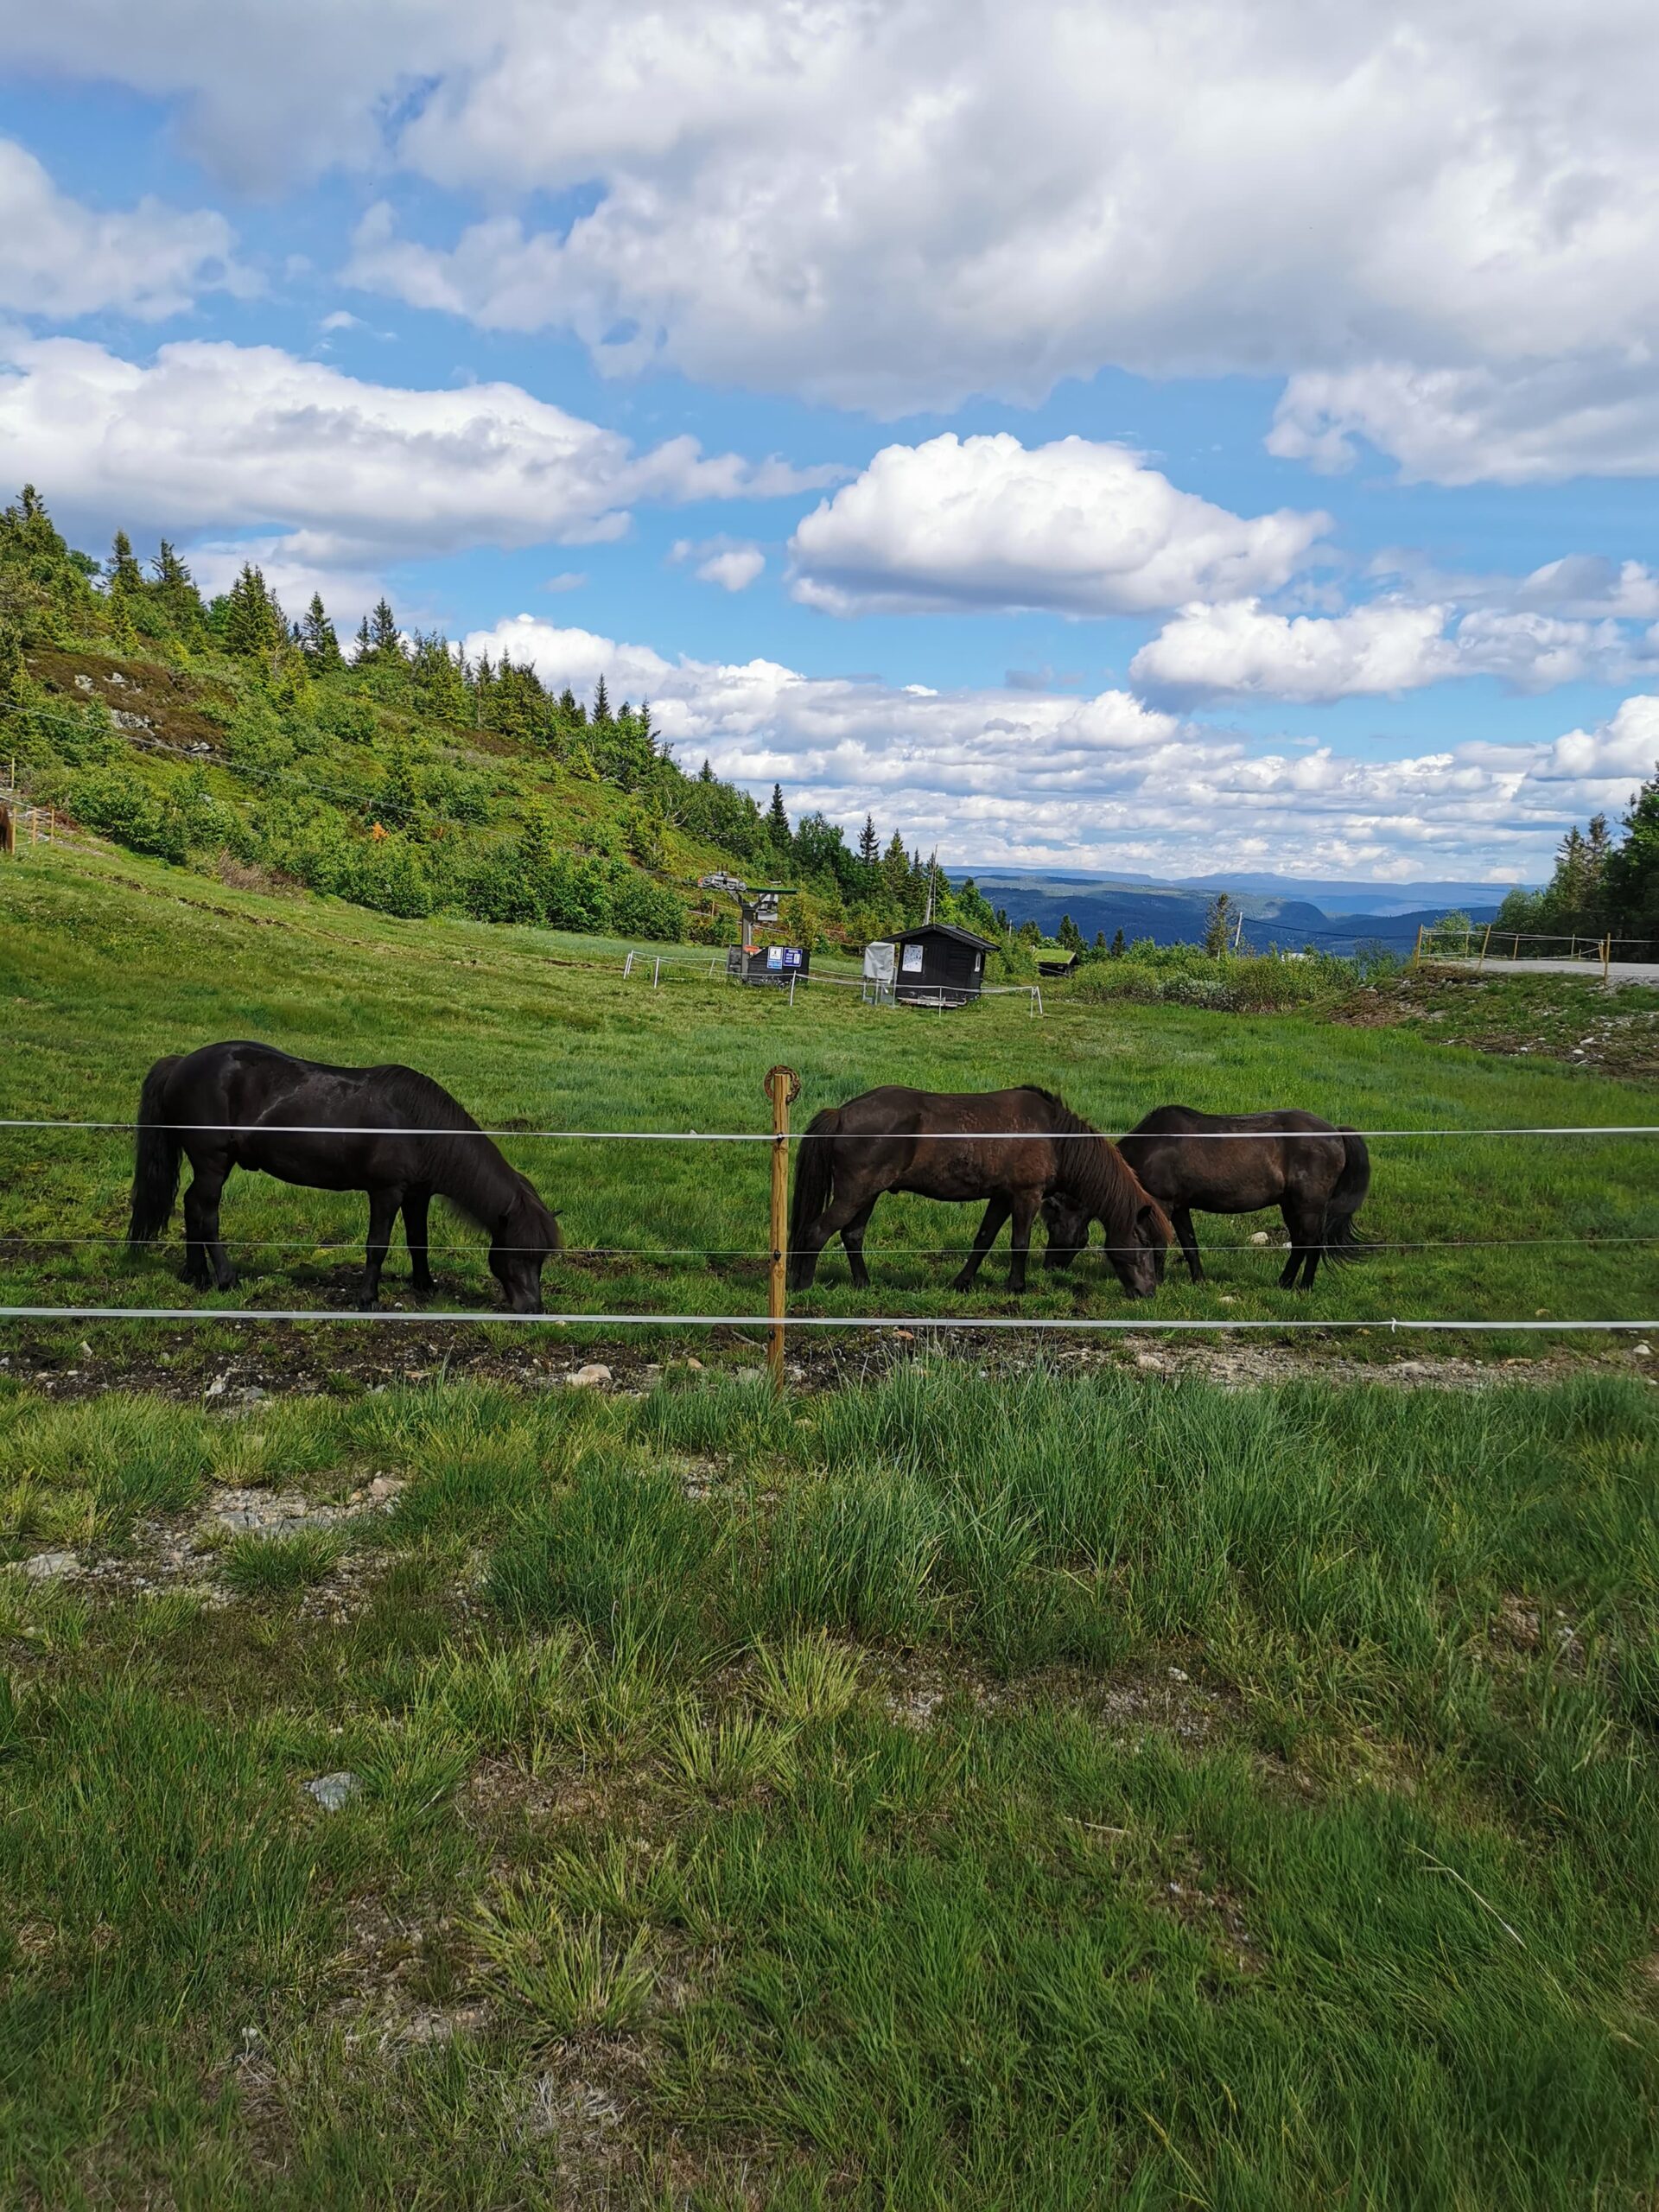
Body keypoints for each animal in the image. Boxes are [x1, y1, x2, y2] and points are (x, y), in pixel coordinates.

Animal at [124, 1039, 566, 1300]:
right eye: (518, 1253)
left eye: (542, 1258)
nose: (533, 1310)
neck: (417, 1124)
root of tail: (182, 1062)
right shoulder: (386, 1192)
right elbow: (378, 1245)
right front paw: (368, 1298)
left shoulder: (417, 1194)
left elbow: (418, 1242)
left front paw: (425, 1287)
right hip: (213, 1163)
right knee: (207, 1213)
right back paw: (225, 1278)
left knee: (191, 1206)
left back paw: (195, 1275)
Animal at [787, 1084, 1167, 1292]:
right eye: (1144, 1244)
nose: (1149, 1291)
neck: (1053, 1136)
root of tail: (842, 1112)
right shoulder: (1025, 1196)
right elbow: (1019, 1243)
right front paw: (1017, 1287)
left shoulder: (1001, 1197)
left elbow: (983, 1239)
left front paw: (962, 1283)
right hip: (854, 1194)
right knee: (816, 1233)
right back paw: (804, 1286)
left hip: (868, 1195)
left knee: (852, 1236)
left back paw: (864, 1284)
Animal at [1044, 1106, 1371, 1292]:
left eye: (1052, 1223)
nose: (1049, 1267)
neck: (1151, 1148)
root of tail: (1336, 1133)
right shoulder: (1180, 1208)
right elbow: (1190, 1245)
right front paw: (1198, 1281)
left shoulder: (1162, 1205)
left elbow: (1160, 1243)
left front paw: (1159, 1280)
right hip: (1291, 1206)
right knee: (1302, 1244)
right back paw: (1284, 1284)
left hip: (1307, 1206)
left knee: (1312, 1244)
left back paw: (1303, 1288)